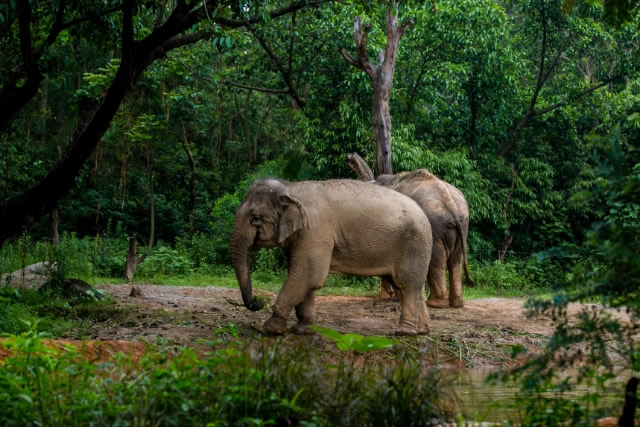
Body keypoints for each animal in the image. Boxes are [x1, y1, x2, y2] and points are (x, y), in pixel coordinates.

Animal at [228, 178, 432, 338]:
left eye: (256, 218)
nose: (259, 300)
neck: (290, 188)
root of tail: (424, 214)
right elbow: (305, 278)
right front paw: (302, 329)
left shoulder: (315, 232)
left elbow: (309, 275)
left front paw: (270, 329)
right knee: (414, 286)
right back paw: (421, 331)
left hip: (413, 245)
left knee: (407, 285)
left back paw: (404, 332)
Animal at [344, 152, 476, 310]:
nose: (350, 156)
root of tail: (452, 206)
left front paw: (396, 297)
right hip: (463, 224)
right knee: (456, 259)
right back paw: (456, 304)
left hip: (435, 226)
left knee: (437, 259)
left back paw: (434, 304)